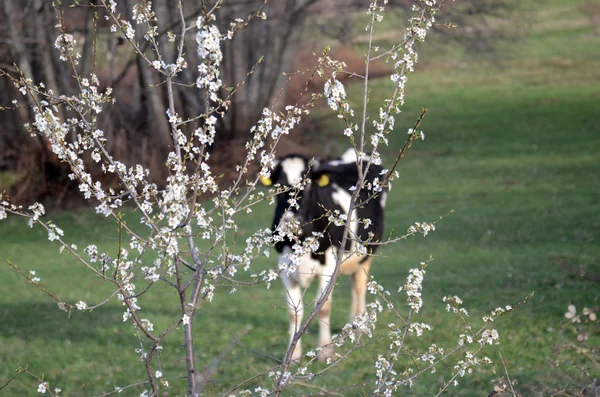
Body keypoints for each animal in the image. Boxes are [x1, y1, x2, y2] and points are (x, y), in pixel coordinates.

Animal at [260, 148, 386, 358]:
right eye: (279, 188)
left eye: (309, 186)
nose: (290, 223)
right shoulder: (283, 267)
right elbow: (293, 312)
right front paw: (293, 355)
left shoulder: (328, 267)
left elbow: (323, 307)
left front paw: (325, 351)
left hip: (367, 253)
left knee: (359, 287)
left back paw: (359, 328)